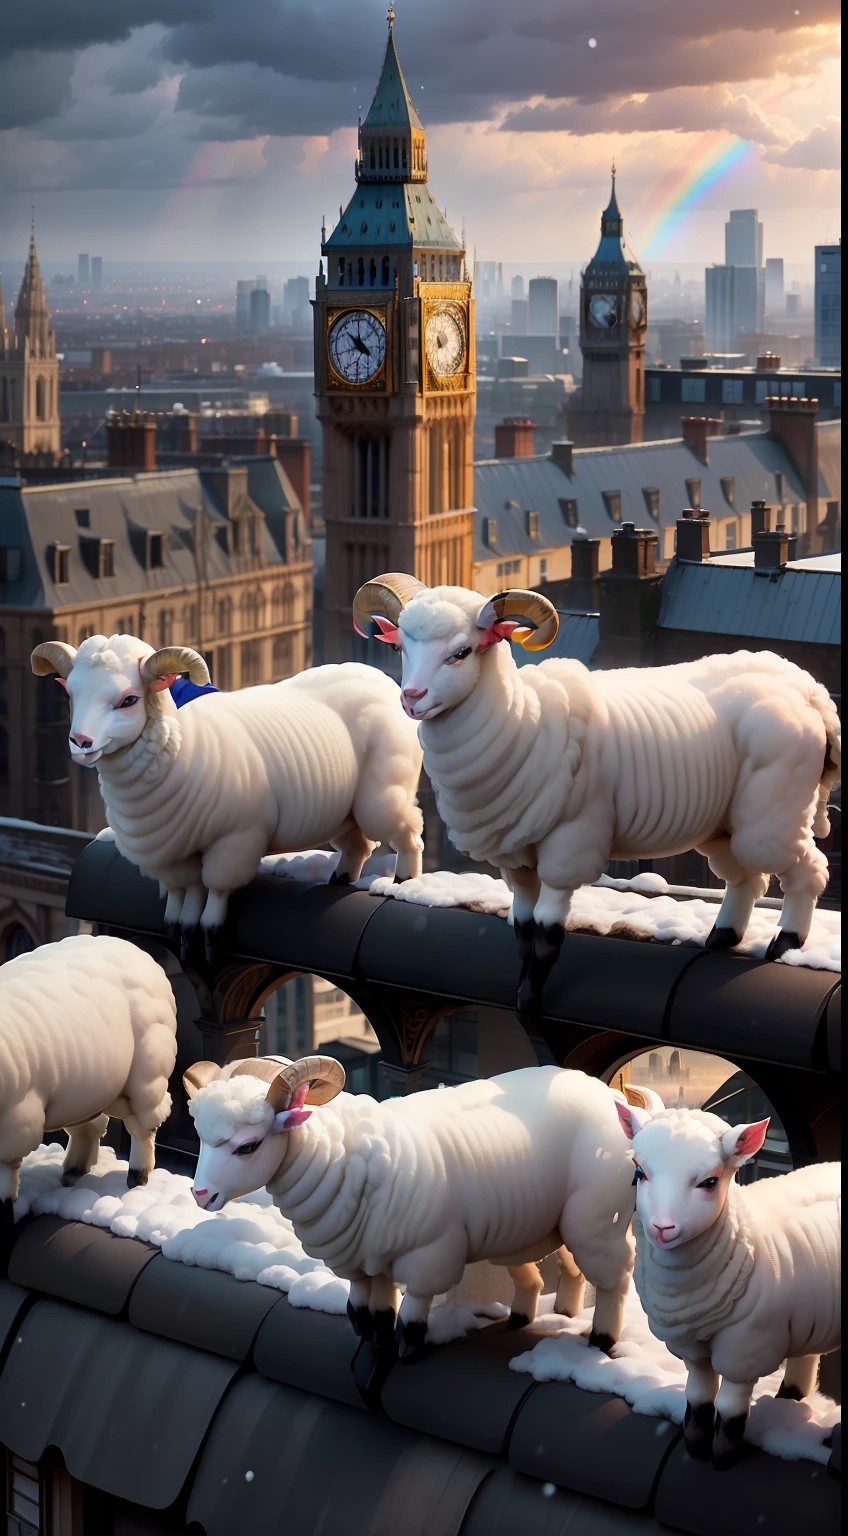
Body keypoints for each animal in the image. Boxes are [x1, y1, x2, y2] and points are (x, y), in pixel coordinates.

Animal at [0, 927, 178, 1228]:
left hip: (146, 1072)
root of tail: (134, 950)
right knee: (90, 1128)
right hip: (84, 1089)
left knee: (144, 1125)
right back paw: (74, 1170)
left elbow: (5, 1184)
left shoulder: (16, 1122)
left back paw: (137, 1177)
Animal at [32, 635, 424, 946]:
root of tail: (378, 677)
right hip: (342, 813)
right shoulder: (173, 851)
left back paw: (404, 880)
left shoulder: (235, 839)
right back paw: (339, 879)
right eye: (70, 693)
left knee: (408, 833)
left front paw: (208, 929)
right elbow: (186, 889)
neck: (184, 742)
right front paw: (179, 924)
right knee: (357, 847)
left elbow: (217, 887)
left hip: (383, 795)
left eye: (129, 700)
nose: (81, 742)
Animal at [187, 1056, 648, 1370]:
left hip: (594, 1220)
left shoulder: (429, 1253)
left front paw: (407, 1352)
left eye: (248, 1146)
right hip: (544, 1224)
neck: (343, 1154)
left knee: (616, 1277)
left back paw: (600, 1340)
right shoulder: (366, 1259)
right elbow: (368, 1312)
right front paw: (374, 1343)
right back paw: (544, 1316)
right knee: (556, 1270)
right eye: (202, 1137)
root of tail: (611, 1096)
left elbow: (411, 1313)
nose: (200, 1194)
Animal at [353, 577, 841, 1019]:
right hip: (724, 823)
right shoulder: (517, 855)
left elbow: (547, 935)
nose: (411, 697)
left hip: (772, 810)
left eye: (461, 652)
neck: (524, 719)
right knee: (745, 880)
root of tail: (806, 688)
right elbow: (523, 931)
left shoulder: (570, 841)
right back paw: (722, 936)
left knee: (806, 871)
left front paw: (530, 1001)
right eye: (400, 649)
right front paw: (519, 988)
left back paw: (785, 943)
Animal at [611, 1099, 835, 1468]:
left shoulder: (746, 1345)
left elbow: (730, 1410)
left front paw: (722, 1460)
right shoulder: (690, 1347)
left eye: (710, 1181)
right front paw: (695, 1448)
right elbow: (698, 1397)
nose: (662, 1228)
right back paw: (789, 1399)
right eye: (639, 1173)